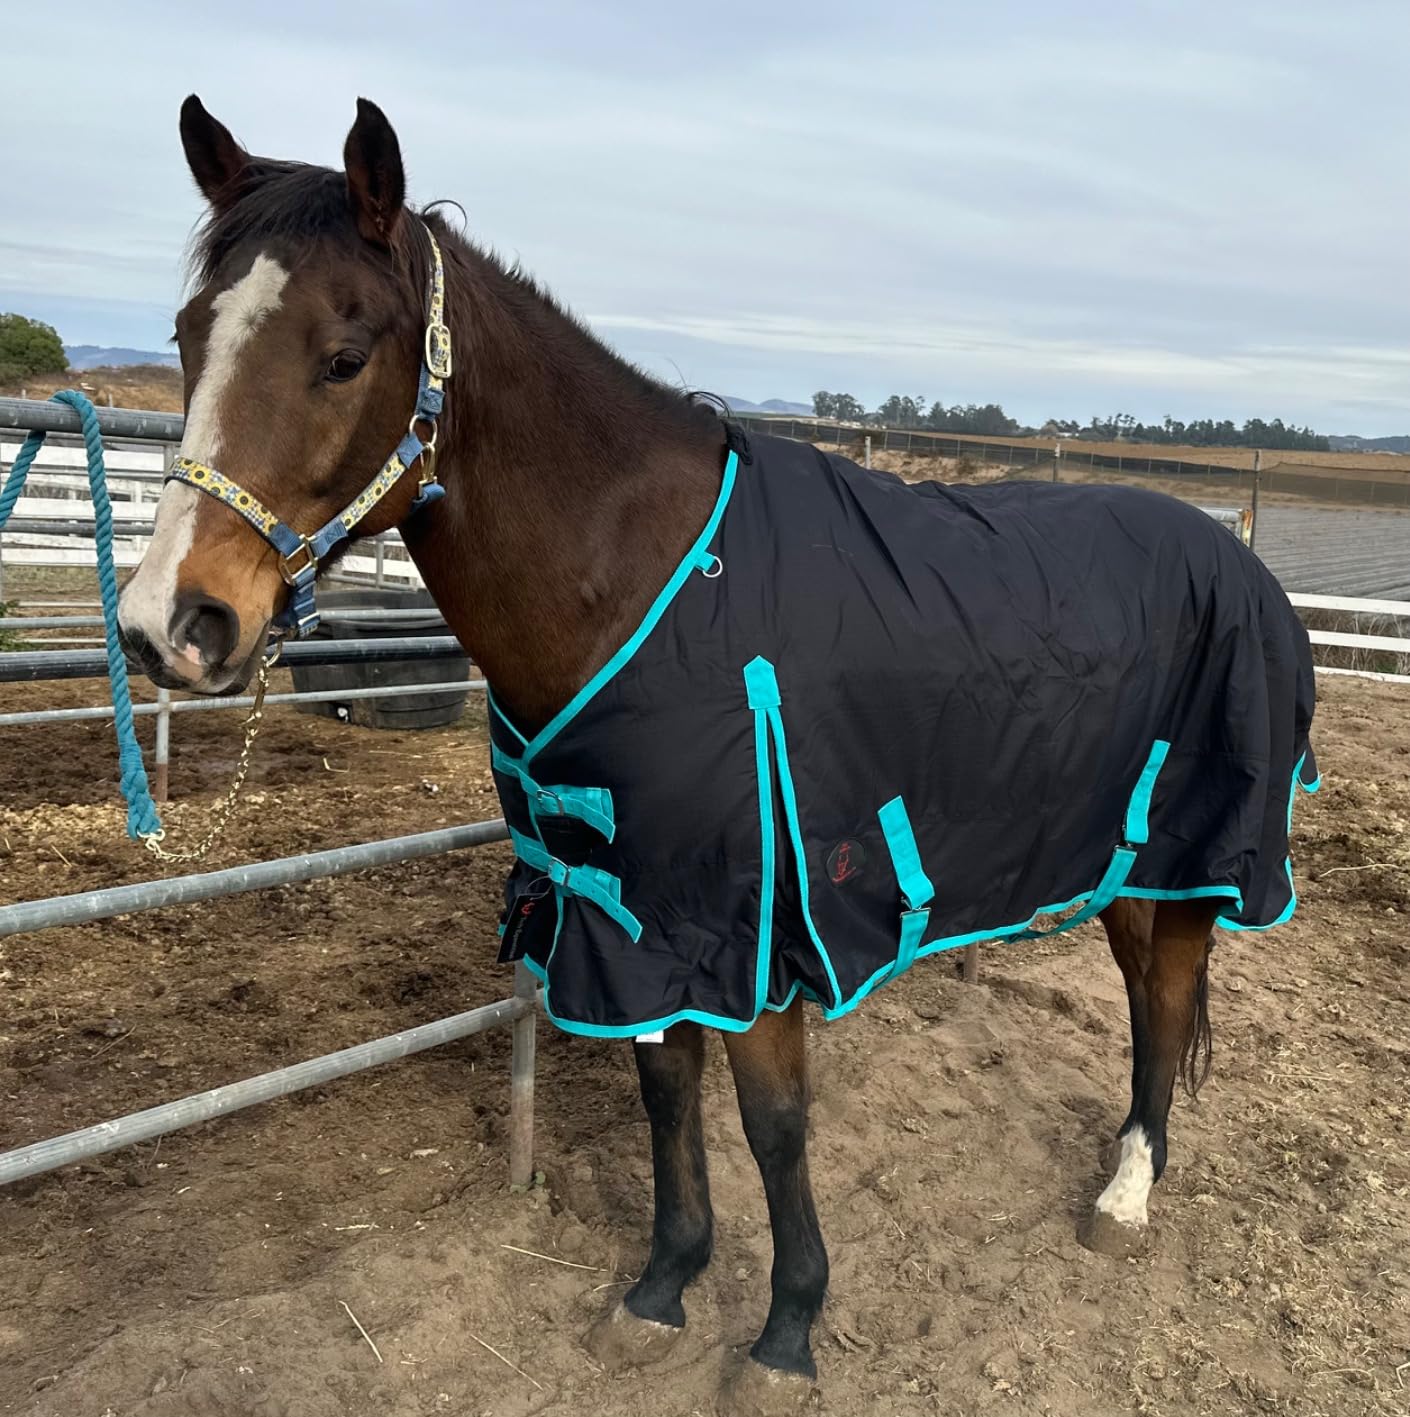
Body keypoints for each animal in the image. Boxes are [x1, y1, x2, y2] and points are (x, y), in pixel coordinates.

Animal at [116, 96, 1318, 1413]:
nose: (169, 624)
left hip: (1199, 850)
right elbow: (664, 1094)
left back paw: (1127, 1194)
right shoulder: (637, 910)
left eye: (344, 353)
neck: (645, 577)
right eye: (188, 334)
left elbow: (774, 1123)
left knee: (1168, 996)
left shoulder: (757, 920)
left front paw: (788, 1327)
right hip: (1122, 857)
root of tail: (1232, 548)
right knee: (1147, 993)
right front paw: (661, 1286)